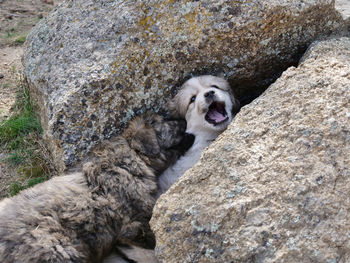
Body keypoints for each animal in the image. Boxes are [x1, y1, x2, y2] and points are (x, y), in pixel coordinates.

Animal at [0, 113, 193, 263]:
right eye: (166, 122)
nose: (184, 120)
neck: (128, 158)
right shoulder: (136, 217)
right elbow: (152, 233)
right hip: (57, 251)